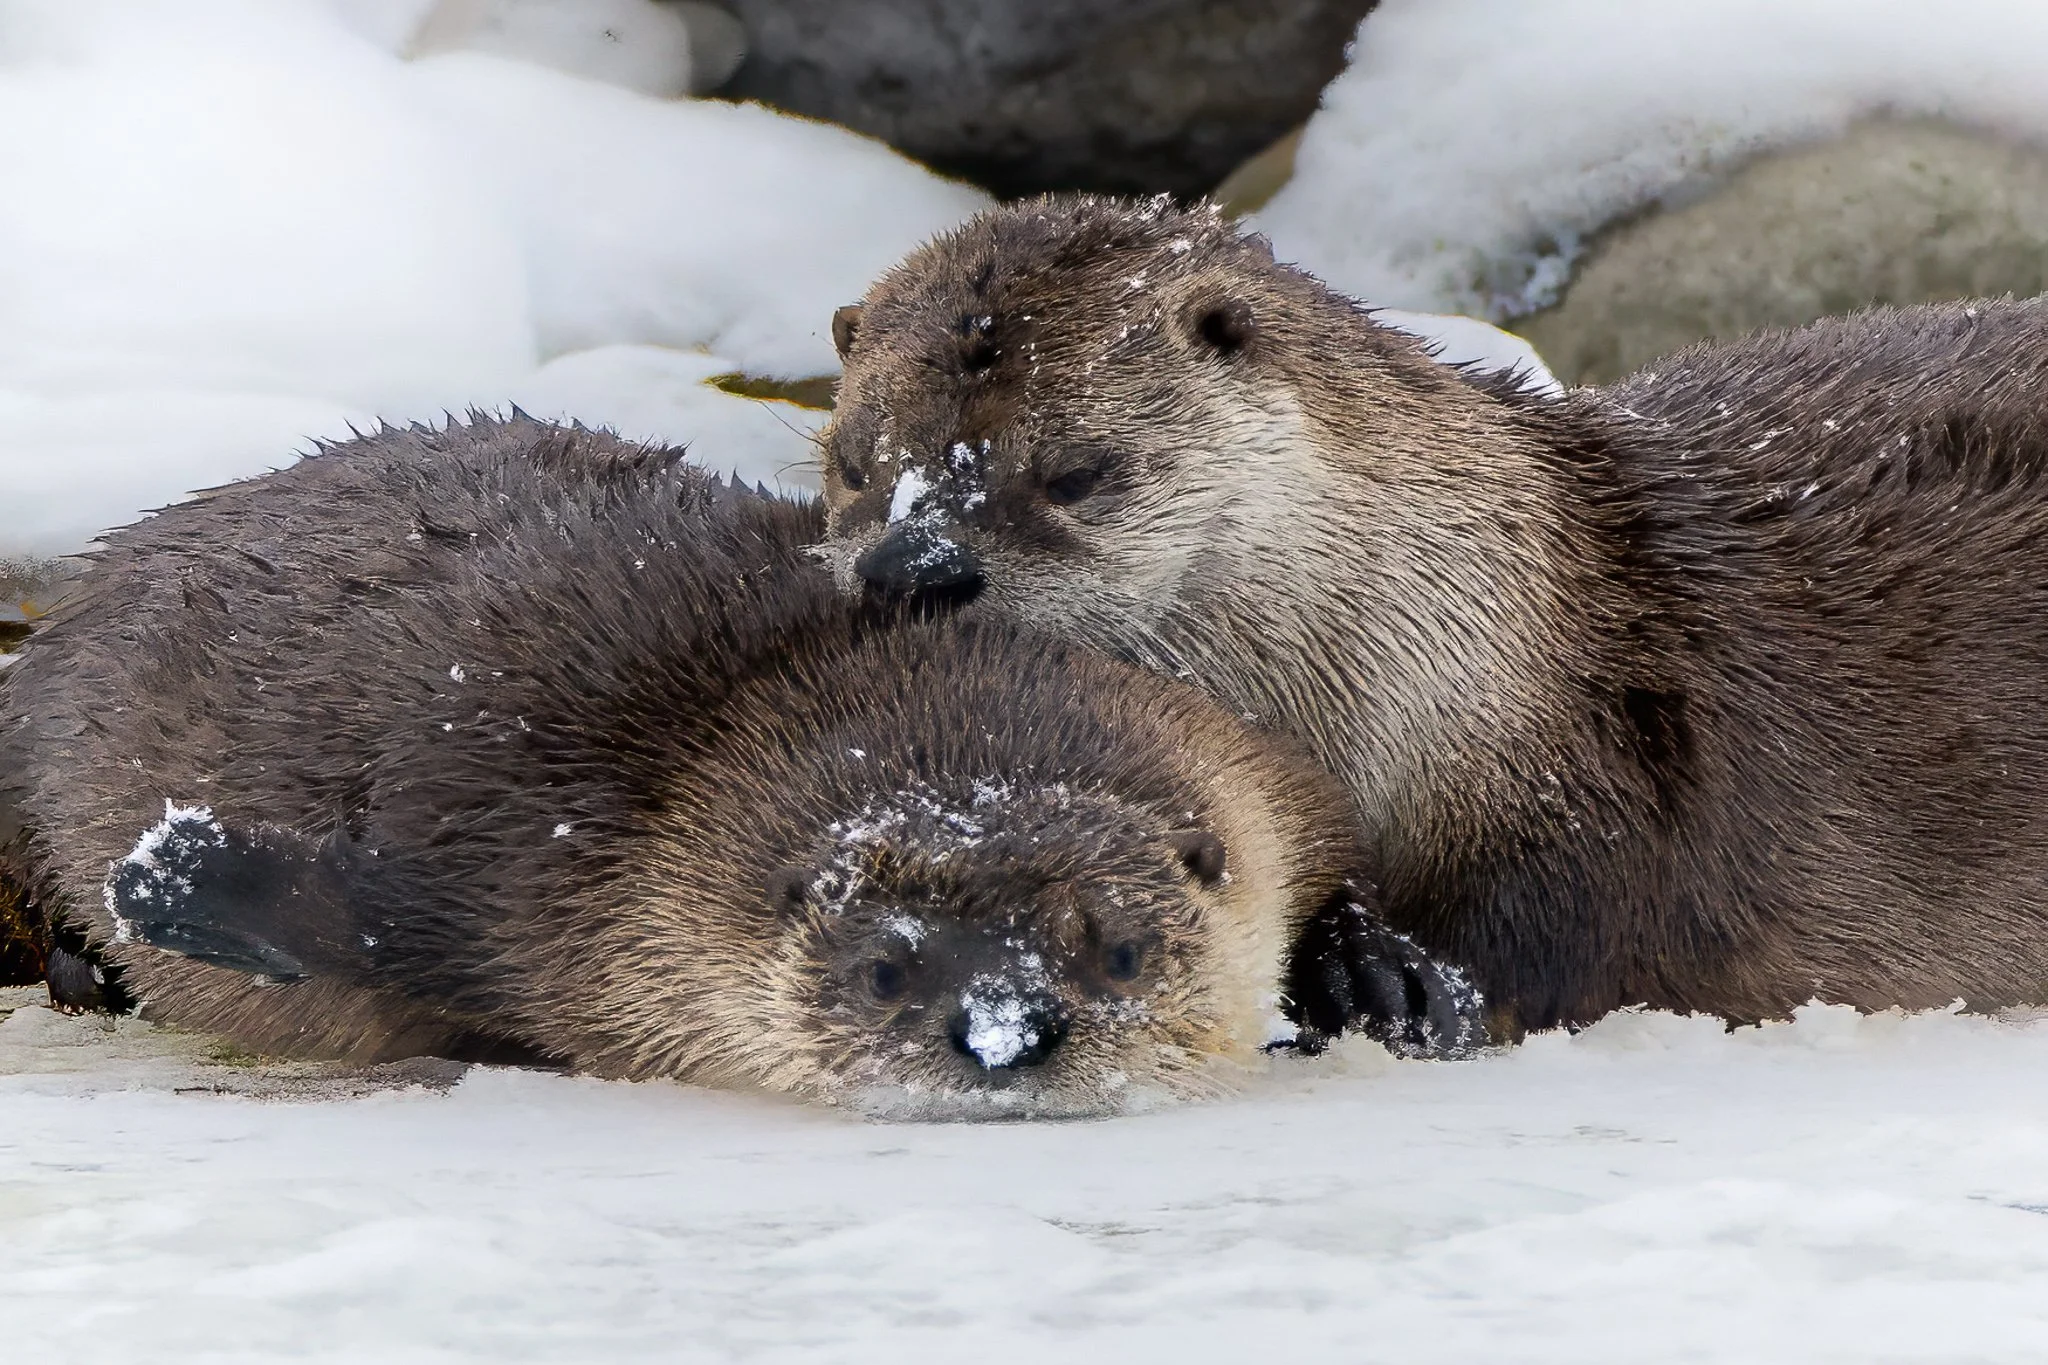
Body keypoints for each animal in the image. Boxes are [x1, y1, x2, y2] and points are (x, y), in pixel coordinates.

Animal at [0, 415, 1475, 1115]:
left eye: (1116, 950)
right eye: (885, 968)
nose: (1003, 1027)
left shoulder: (1258, 768)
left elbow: (1332, 853)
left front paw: (1386, 975)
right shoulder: (534, 882)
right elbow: (358, 916)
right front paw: (175, 871)